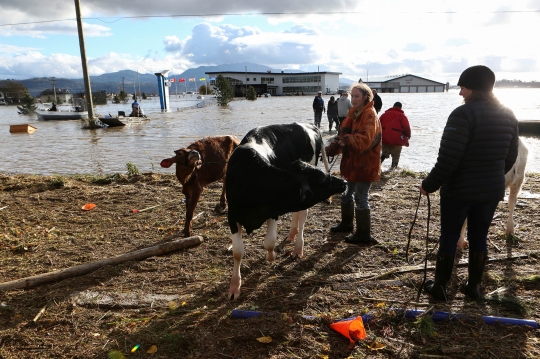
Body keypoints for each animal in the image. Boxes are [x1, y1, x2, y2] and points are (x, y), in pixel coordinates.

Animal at [225, 122, 346, 300]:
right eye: (321, 179)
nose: (343, 182)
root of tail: (308, 125)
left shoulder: (274, 210)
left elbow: (269, 242)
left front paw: (271, 258)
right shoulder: (232, 216)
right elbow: (237, 252)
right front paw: (234, 286)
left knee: (302, 215)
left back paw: (298, 248)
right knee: (297, 214)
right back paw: (291, 234)